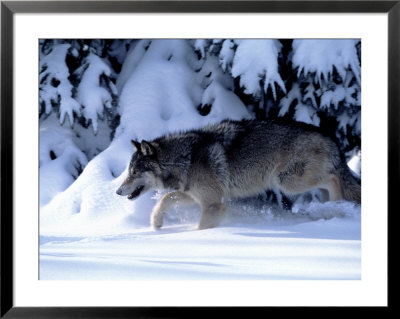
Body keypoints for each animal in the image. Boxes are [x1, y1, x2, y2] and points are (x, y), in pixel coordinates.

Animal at [115, 120, 360, 230]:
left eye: (134, 173)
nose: (117, 191)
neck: (186, 158)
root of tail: (330, 138)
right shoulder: (194, 195)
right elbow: (167, 198)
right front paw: (156, 223)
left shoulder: (213, 203)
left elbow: (202, 226)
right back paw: (329, 211)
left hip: (287, 182)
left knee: (334, 180)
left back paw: (337, 209)